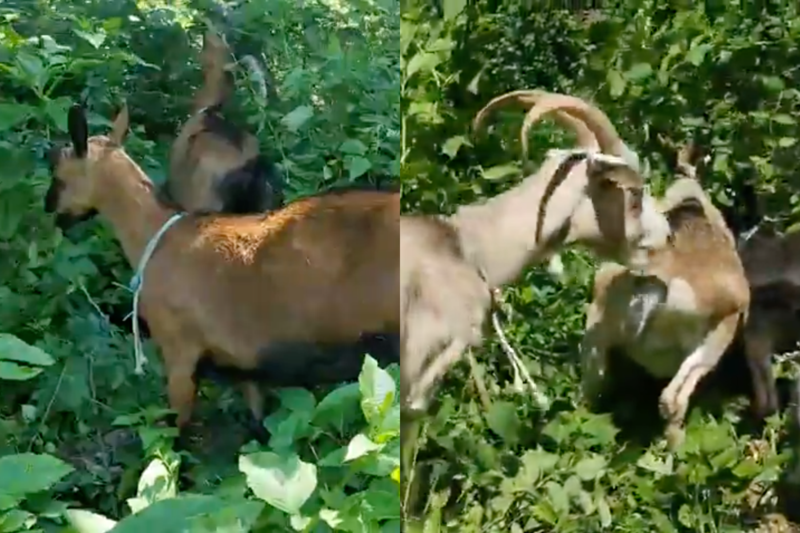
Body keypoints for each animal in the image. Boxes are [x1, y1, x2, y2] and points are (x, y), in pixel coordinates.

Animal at [43, 104, 400, 440]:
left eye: (57, 173)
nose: (51, 210)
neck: (160, 238)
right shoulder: (248, 362)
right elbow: (261, 428)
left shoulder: (179, 349)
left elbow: (175, 433)